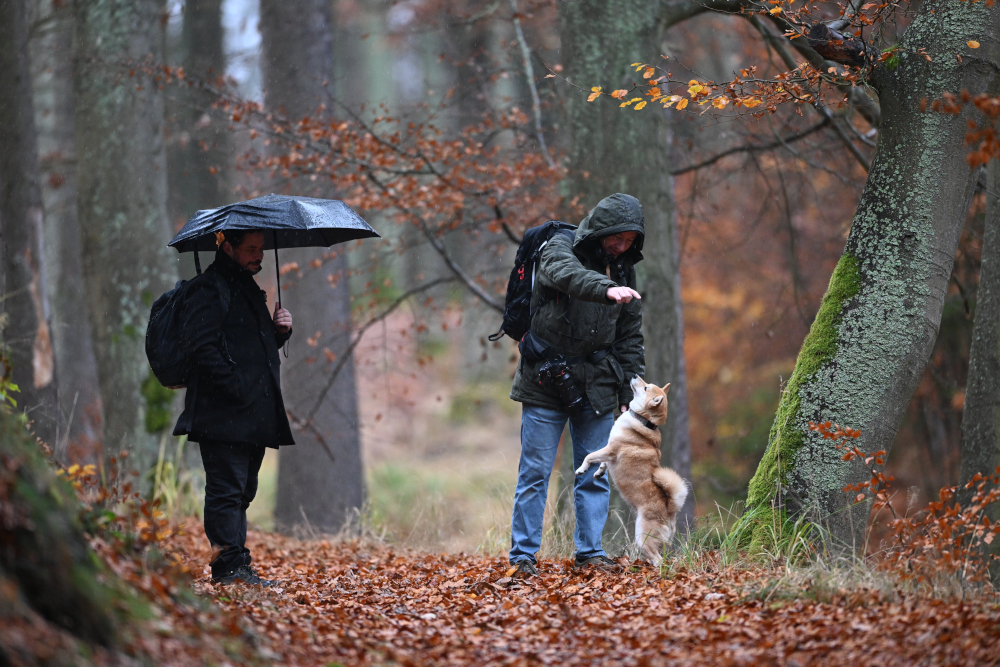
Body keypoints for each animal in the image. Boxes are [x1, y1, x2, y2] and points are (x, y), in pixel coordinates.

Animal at [572, 376, 688, 564]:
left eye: (646, 387)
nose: (634, 375)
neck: (644, 421)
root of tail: (669, 510)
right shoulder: (609, 454)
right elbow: (602, 463)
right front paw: (599, 472)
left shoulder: (610, 449)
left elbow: (590, 456)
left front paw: (582, 469)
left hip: (643, 538)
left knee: (658, 560)